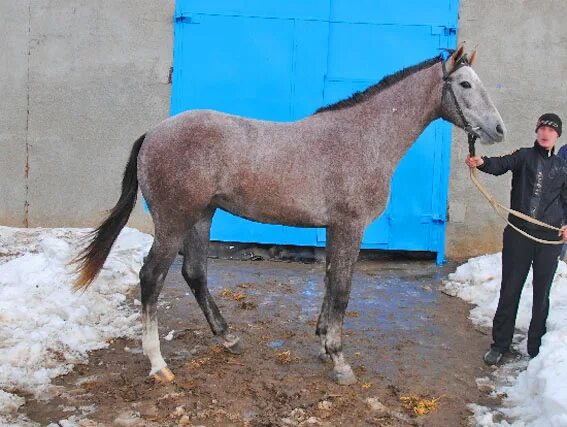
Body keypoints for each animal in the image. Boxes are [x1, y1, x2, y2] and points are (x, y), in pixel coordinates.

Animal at [74, 45, 506, 386]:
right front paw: (340, 360)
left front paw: (323, 343)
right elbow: (343, 290)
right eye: (465, 85)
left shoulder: (334, 228)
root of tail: (154, 132)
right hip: (174, 220)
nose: (498, 129)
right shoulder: (350, 226)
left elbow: (330, 282)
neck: (362, 138)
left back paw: (228, 338)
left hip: (201, 216)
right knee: (152, 277)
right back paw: (158, 364)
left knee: (194, 273)